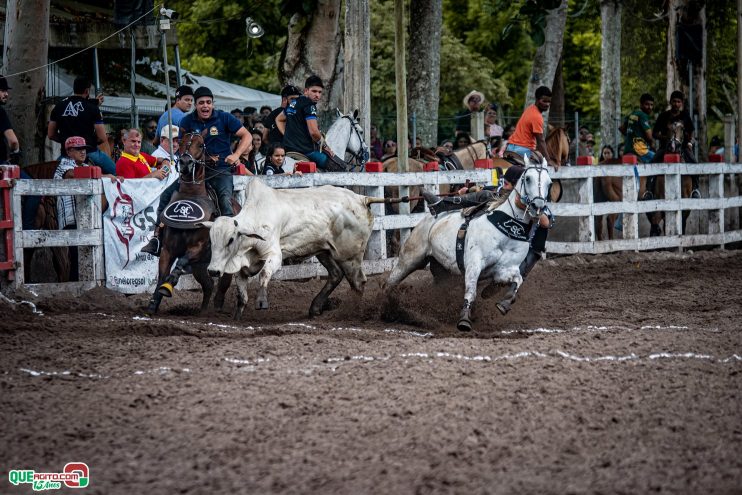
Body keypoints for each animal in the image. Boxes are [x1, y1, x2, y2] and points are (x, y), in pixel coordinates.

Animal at [205, 180, 386, 320]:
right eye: (211, 240)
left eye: (230, 239)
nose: (213, 270)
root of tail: (361, 198)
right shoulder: (242, 264)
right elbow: (242, 293)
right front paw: (237, 318)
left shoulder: (275, 255)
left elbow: (264, 274)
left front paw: (262, 301)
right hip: (323, 251)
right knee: (336, 274)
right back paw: (315, 308)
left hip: (349, 256)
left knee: (358, 282)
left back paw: (352, 312)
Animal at [384, 154, 552, 334]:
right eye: (528, 178)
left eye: (549, 182)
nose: (538, 206)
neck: (507, 230)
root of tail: (429, 219)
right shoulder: (474, 265)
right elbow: (471, 291)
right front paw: (464, 320)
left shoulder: (505, 269)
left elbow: (517, 281)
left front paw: (504, 303)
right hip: (410, 258)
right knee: (389, 283)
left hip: (440, 268)